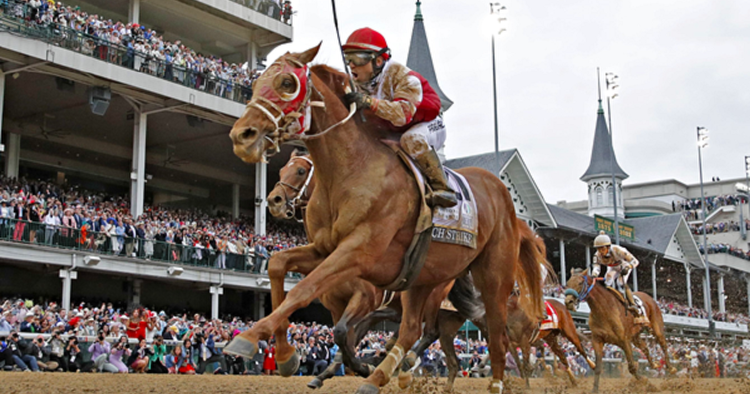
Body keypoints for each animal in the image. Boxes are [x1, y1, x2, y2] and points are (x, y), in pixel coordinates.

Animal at [223, 44, 548, 392]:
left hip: (492, 276)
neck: (351, 171)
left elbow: (307, 294)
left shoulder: (360, 257)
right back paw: (383, 374)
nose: (242, 135)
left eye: (287, 83)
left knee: (494, 333)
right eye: (256, 83)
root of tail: (504, 196)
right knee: (413, 330)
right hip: (422, 277)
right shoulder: (326, 253)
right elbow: (278, 265)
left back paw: (492, 380)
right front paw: (287, 355)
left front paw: (248, 337)